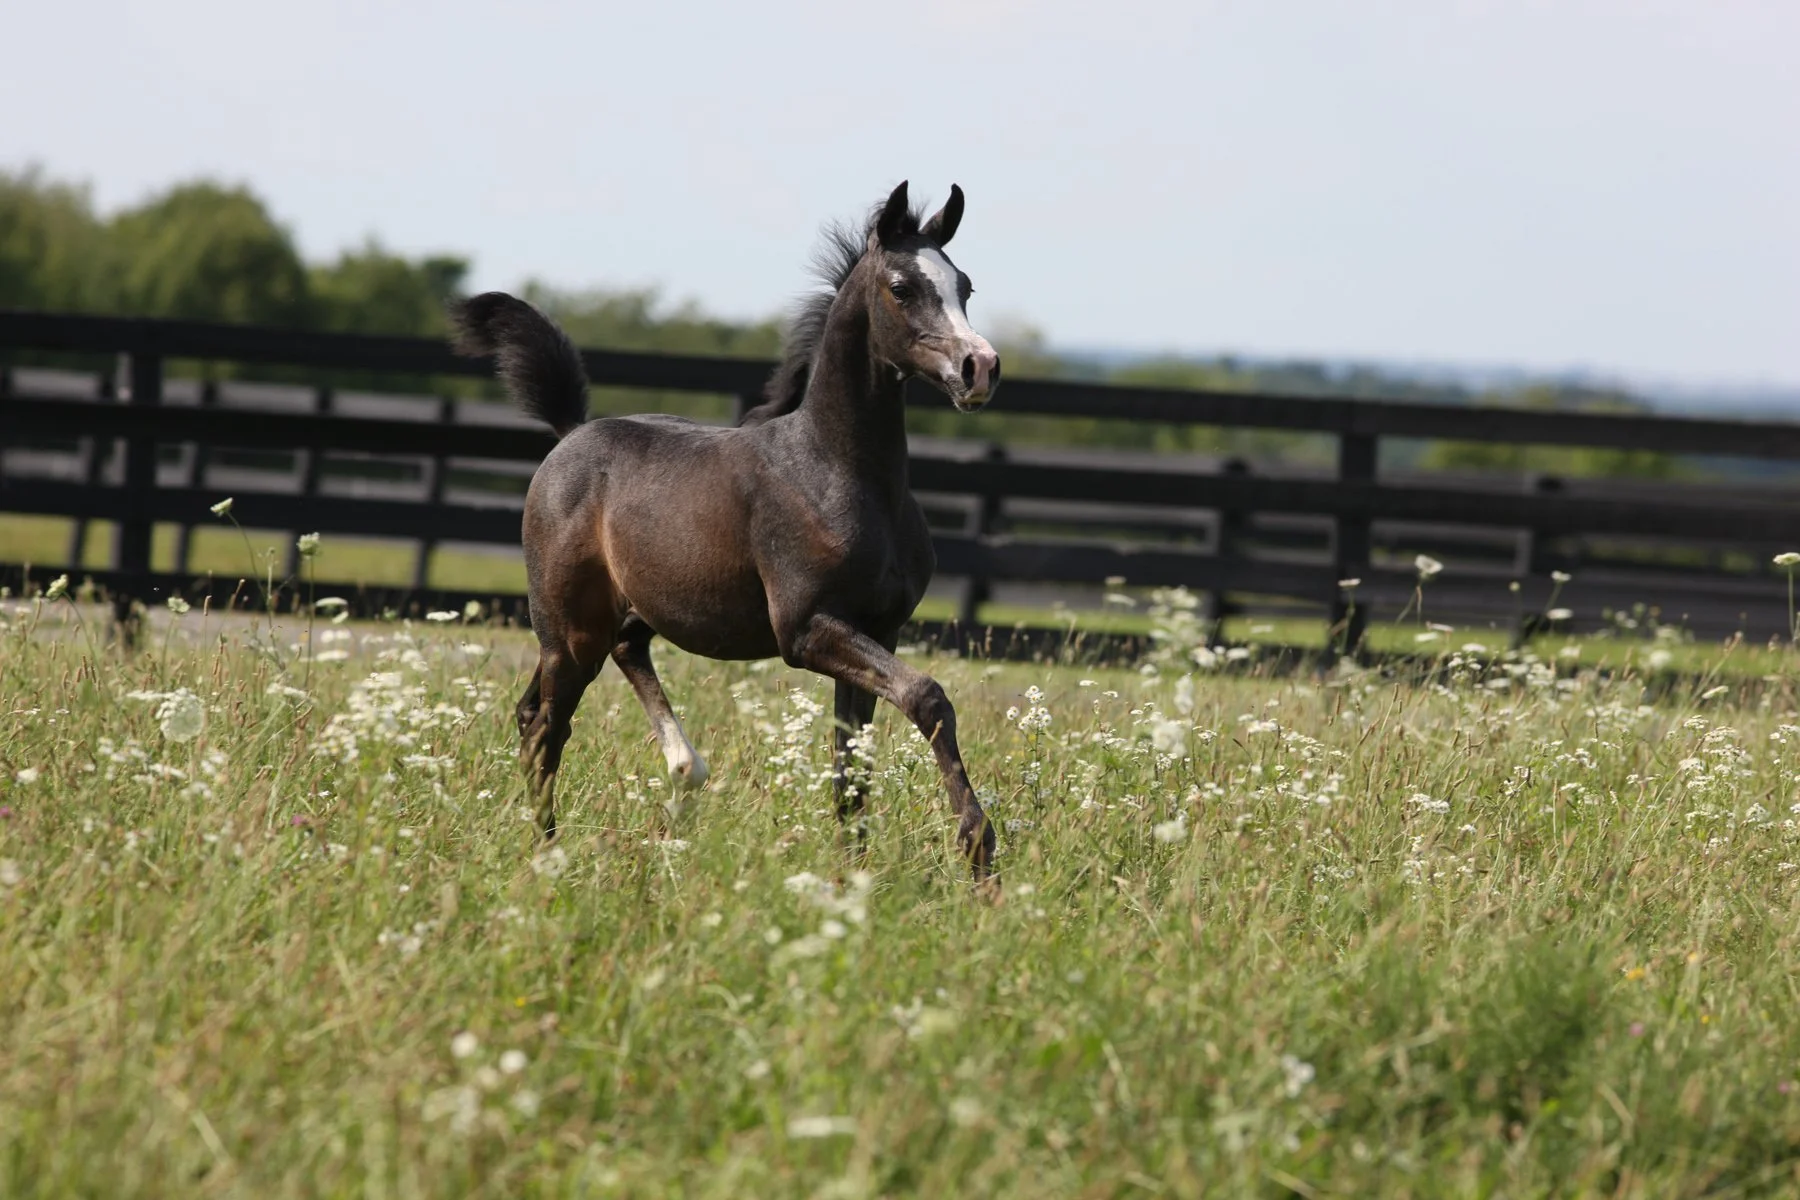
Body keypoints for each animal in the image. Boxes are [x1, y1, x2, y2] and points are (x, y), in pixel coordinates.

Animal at [451, 181, 1003, 877]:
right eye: (902, 287)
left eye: (967, 286)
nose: (979, 367)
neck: (836, 468)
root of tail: (570, 434)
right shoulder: (806, 629)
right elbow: (928, 696)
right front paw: (978, 849)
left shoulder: (880, 629)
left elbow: (850, 771)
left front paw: (852, 878)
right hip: (568, 629)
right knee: (546, 724)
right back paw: (549, 853)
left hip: (624, 616)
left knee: (592, 677)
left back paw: (679, 777)